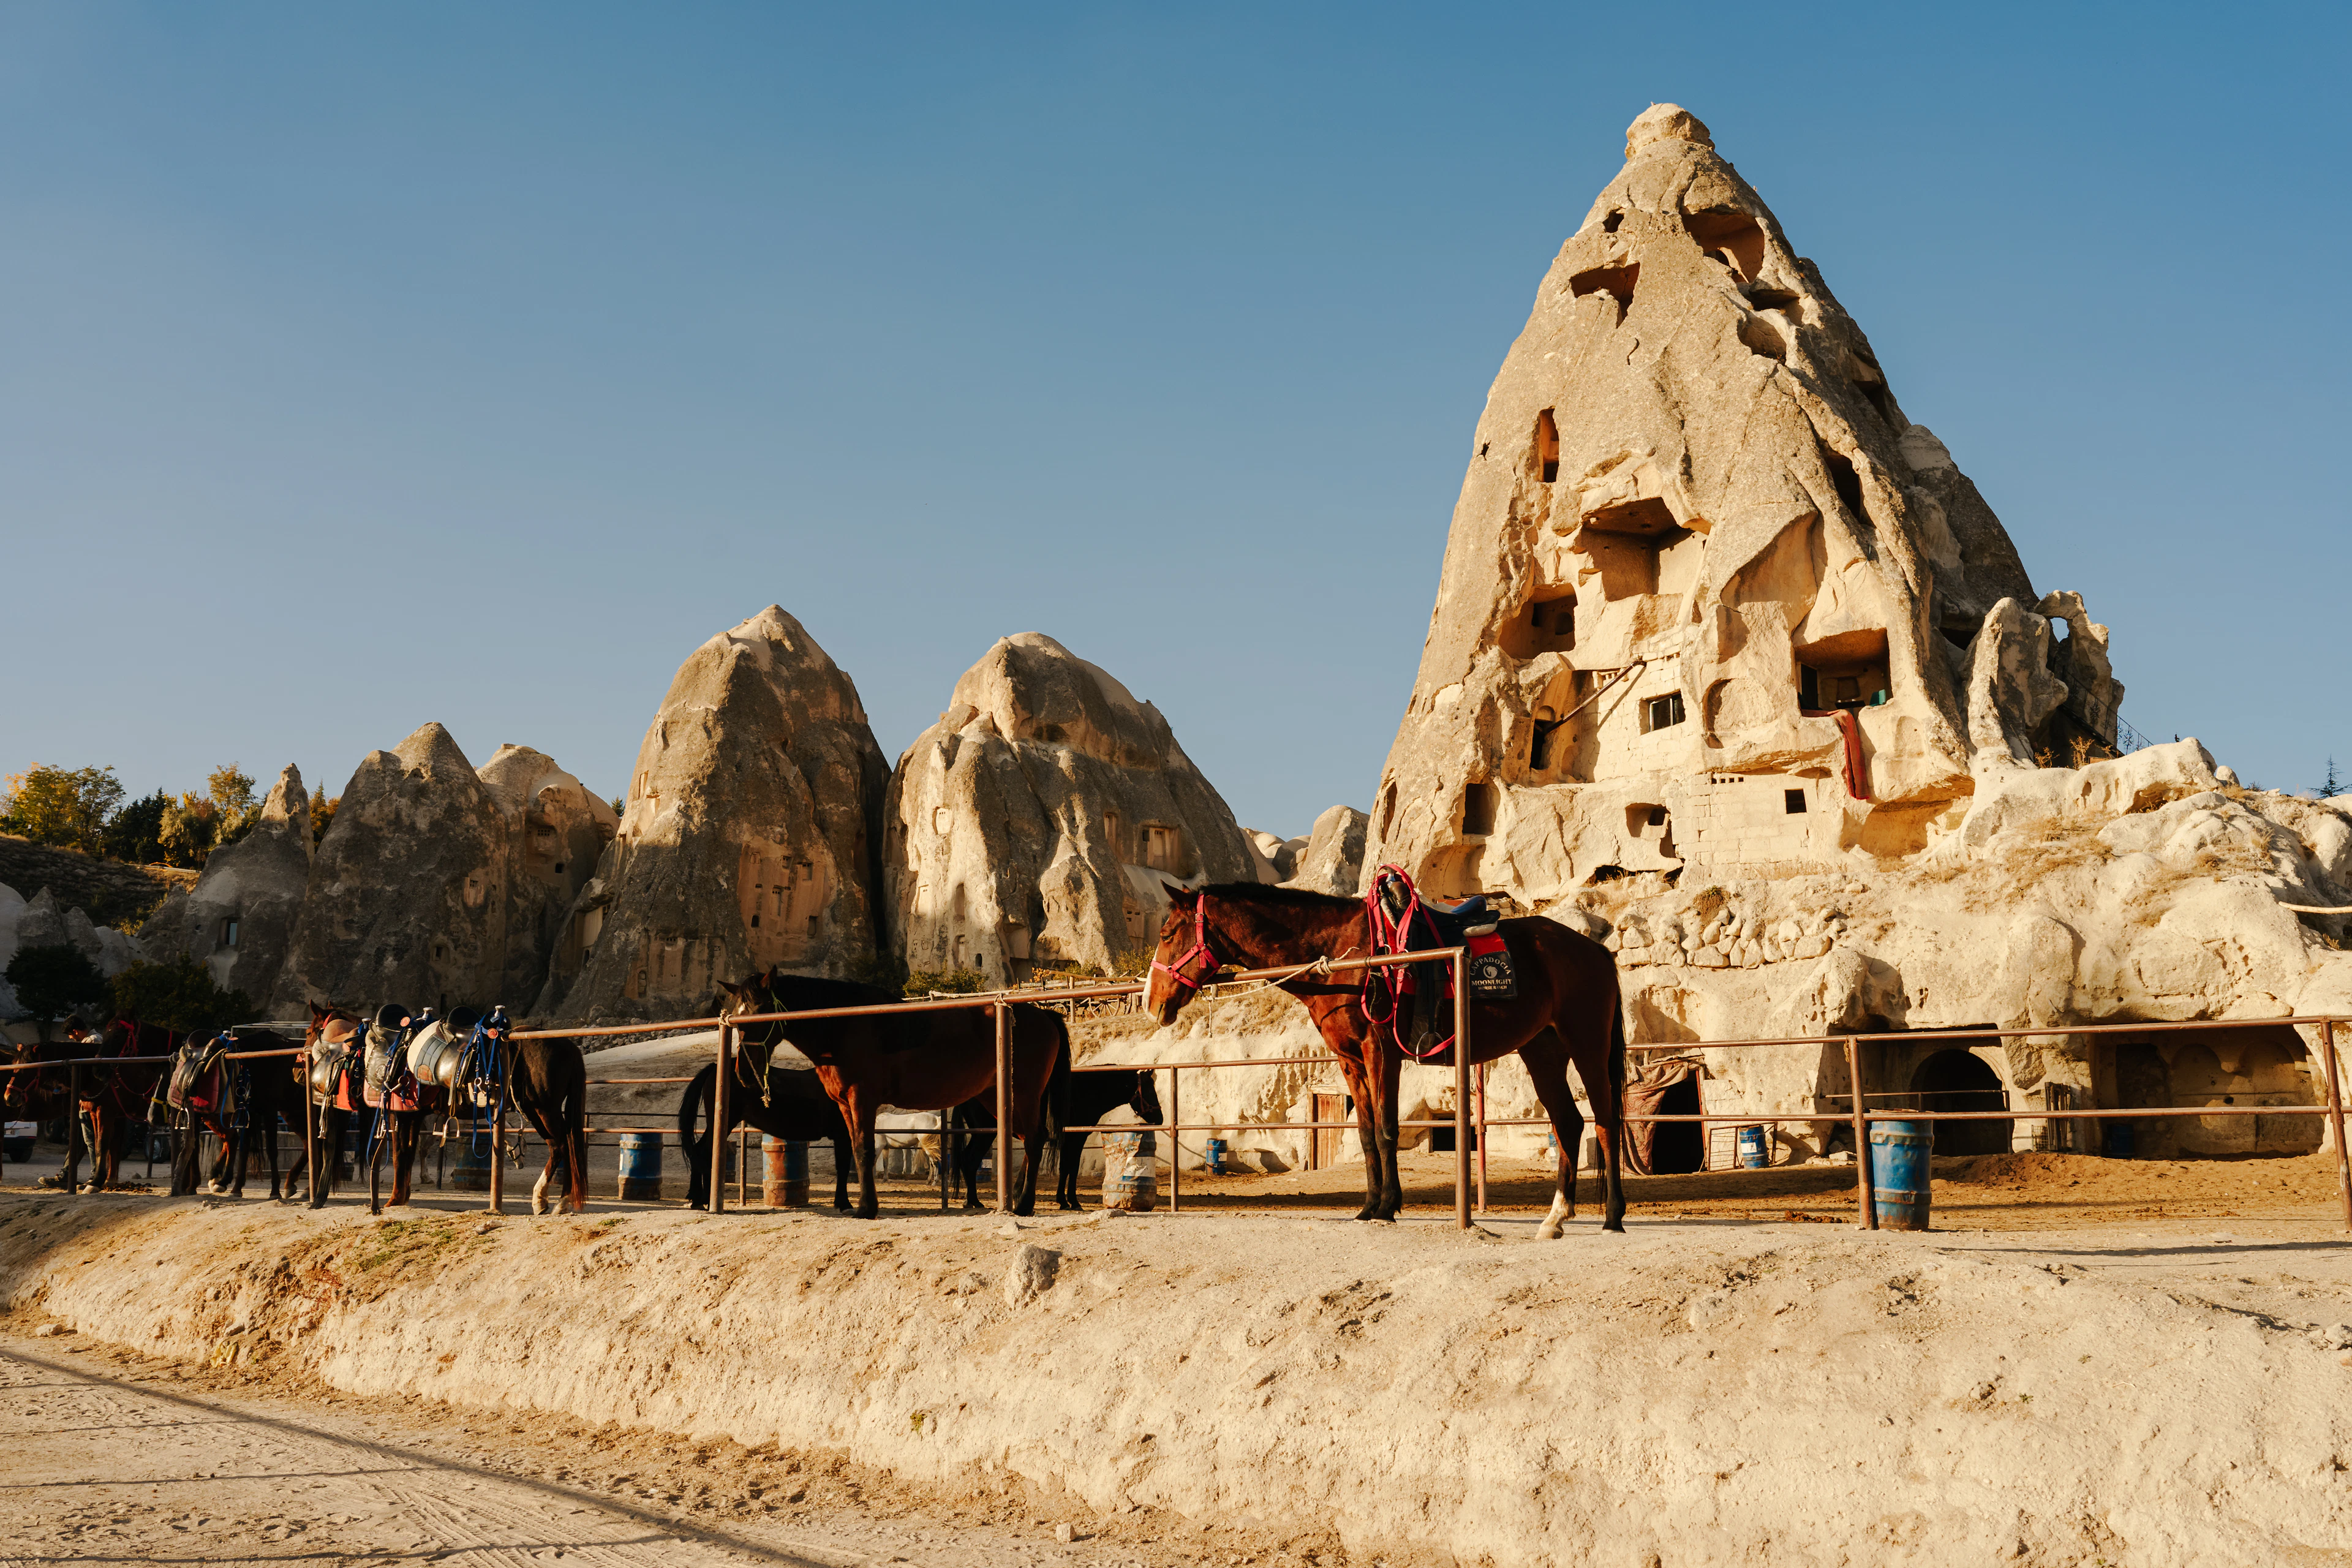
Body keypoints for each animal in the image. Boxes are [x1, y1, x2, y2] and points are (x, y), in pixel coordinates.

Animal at [717, 969, 1066, 1219]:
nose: (744, 1074)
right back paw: (1018, 1198)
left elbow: (864, 1151)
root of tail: (1044, 1015)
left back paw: (1023, 1205)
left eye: (761, 1011)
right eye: (734, 1016)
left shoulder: (862, 1099)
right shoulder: (845, 1104)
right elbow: (856, 1152)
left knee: (1035, 1139)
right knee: (1026, 1139)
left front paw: (866, 1209)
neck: (844, 1027)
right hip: (997, 1100)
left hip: (1024, 1095)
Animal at [1143, 882, 1626, 1235]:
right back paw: (1556, 1218)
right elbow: (1365, 1133)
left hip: (1587, 1045)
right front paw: (1370, 1206)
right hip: (1542, 1050)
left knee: (1604, 1122)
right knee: (1569, 1124)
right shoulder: (1351, 1061)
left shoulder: (1381, 1052)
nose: (1151, 1003)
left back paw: (1613, 1217)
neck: (1345, 957)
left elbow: (1387, 1130)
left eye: (1167, 935)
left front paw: (1389, 1206)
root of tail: (1595, 951)